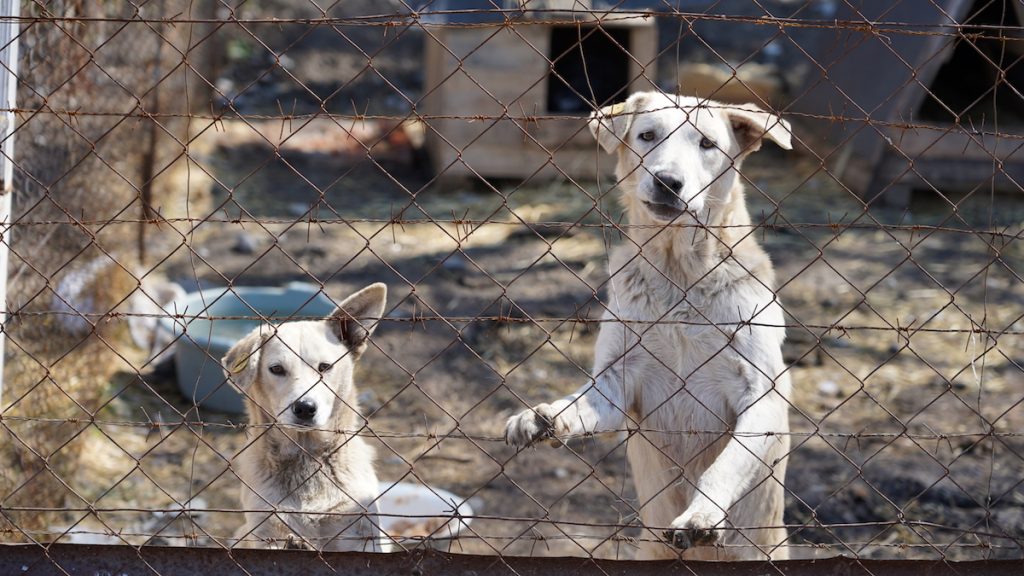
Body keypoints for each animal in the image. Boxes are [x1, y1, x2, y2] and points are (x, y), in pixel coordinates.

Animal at [224, 282, 387, 553]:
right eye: (276, 369)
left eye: (325, 367)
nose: (304, 408)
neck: (307, 457)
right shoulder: (267, 527)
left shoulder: (358, 531)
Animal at [507, 91, 794, 557]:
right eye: (647, 136)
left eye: (707, 144)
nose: (667, 182)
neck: (679, 276)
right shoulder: (616, 384)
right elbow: (576, 405)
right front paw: (541, 417)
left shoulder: (761, 395)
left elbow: (725, 464)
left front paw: (702, 513)